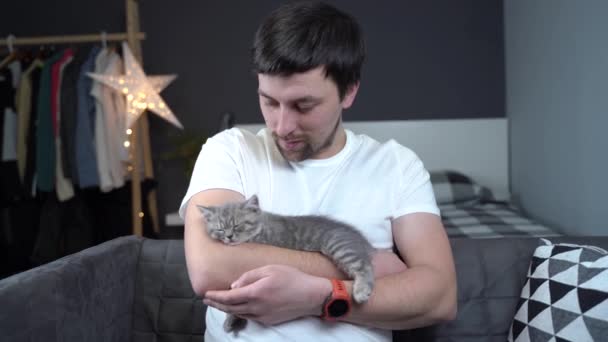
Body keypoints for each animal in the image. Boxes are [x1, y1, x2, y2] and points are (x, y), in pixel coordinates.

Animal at [197, 195, 376, 334]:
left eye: (237, 225)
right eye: (220, 229)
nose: (228, 236)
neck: (261, 228)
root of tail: (361, 239)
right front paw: (231, 319)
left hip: (340, 246)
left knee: (364, 266)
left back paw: (361, 290)